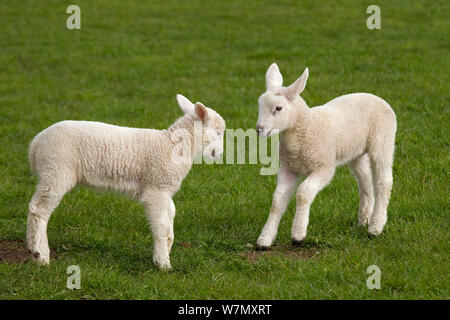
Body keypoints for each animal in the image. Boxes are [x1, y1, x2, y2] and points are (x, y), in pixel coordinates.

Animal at [25, 95, 225, 270]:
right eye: (218, 133)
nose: (220, 154)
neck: (174, 145)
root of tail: (35, 144)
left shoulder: (164, 188)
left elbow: (170, 220)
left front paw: (165, 250)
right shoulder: (156, 188)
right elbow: (161, 226)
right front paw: (163, 263)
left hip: (51, 171)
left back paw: (31, 247)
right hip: (57, 170)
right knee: (39, 210)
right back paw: (41, 255)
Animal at [255, 62, 396, 248]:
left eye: (278, 108)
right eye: (259, 105)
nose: (259, 129)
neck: (306, 128)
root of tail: (377, 97)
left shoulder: (324, 167)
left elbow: (303, 192)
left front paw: (298, 233)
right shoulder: (288, 168)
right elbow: (277, 201)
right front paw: (265, 238)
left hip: (382, 141)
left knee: (383, 182)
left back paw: (375, 227)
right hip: (356, 153)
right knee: (365, 183)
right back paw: (364, 220)